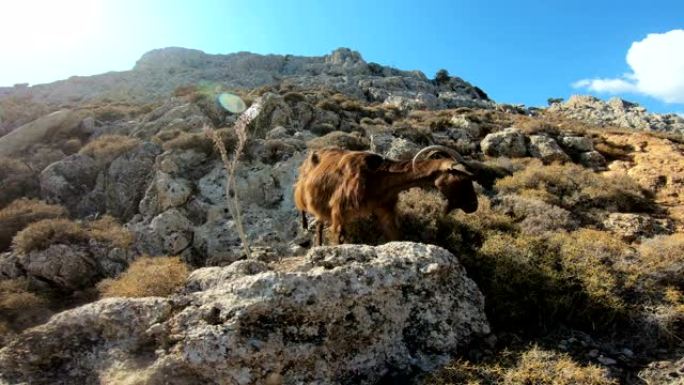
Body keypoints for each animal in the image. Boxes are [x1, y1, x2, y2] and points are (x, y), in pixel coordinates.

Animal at [294, 144, 480, 246]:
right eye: (462, 178)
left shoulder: (385, 209)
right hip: (305, 193)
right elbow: (339, 238)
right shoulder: (339, 210)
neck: (377, 176)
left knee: (319, 222)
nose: (473, 205)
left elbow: (395, 236)